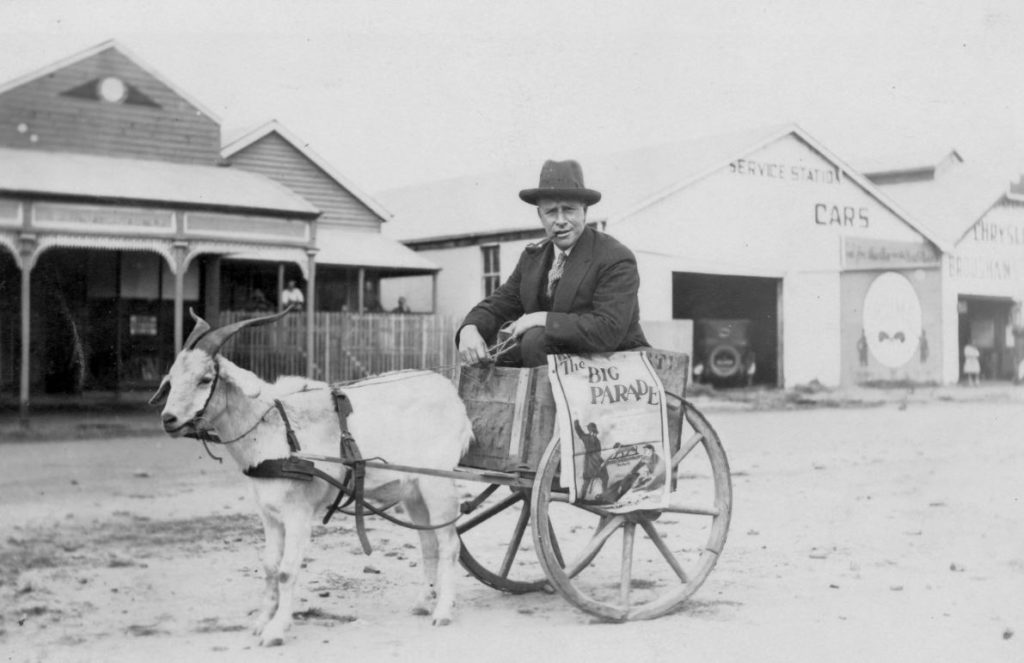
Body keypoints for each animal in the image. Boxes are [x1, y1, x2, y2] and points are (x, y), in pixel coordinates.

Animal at [150, 311, 471, 647]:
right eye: (171, 379)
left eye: (205, 379)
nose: (169, 419)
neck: (273, 426)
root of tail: (451, 395)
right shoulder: (269, 515)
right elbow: (269, 566)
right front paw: (261, 622)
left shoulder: (298, 513)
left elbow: (286, 570)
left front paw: (276, 631)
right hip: (413, 492)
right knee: (428, 543)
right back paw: (422, 603)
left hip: (437, 485)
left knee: (450, 544)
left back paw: (443, 612)